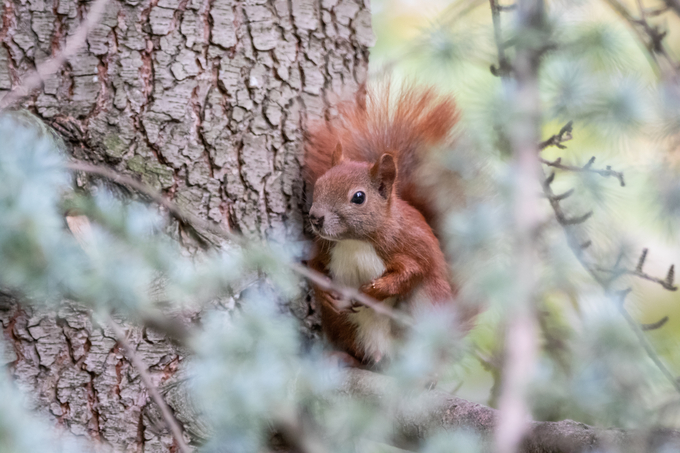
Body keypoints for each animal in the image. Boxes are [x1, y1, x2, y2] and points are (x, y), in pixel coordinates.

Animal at [304, 85, 460, 366]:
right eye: (319, 183)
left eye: (358, 197)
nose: (315, 218)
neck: (354, 242)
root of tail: (385, 357)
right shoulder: (325, 248)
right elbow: (313, 265)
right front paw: (324, 291)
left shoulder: (406, 244)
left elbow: (414, 270)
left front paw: (373, 291)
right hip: (341, 323)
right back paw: (345, 359)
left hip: (428, 306)